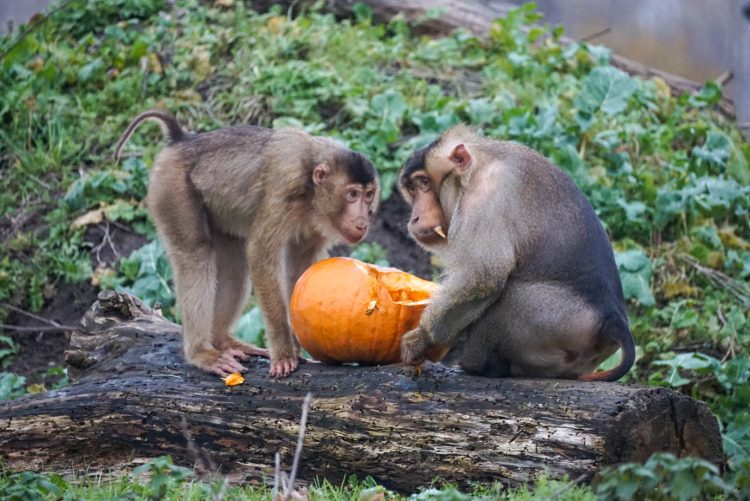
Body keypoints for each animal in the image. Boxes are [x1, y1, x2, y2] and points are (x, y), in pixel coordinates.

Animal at [114, 110, 380, 378]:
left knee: (234, 264)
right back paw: (200, 352)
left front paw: (297, 340)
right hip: (171, 187)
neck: (311, 187)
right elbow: (260, 254)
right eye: (352, 195)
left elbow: (299, 269)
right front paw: (284, 351)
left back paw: (222, 340)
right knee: (196, 255)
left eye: (368, 195)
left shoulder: (317, 222)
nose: (363, 221)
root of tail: (183, 140)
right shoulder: (284, 188)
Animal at [397, 125, 636, 382]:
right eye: (412, 188)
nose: (414, 218)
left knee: (508, 295)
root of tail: (613, 319)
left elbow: (482, 277)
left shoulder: (485, 198)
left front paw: (422, 338)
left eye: (424, 182)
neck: (476, 168)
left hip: (559, 320)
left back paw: (478, 366)